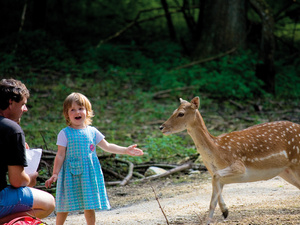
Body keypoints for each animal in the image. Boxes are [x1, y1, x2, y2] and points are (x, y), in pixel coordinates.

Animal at [159, 96, 300, 223]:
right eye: (173, 111)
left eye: (181, 113)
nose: (161, 127)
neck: (217, 151)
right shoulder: (215, 172)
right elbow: (214, 194)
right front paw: (220, 214)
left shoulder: (239, 166)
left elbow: (215, 180)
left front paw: (224, 211)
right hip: (285, 171)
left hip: (296, 162)